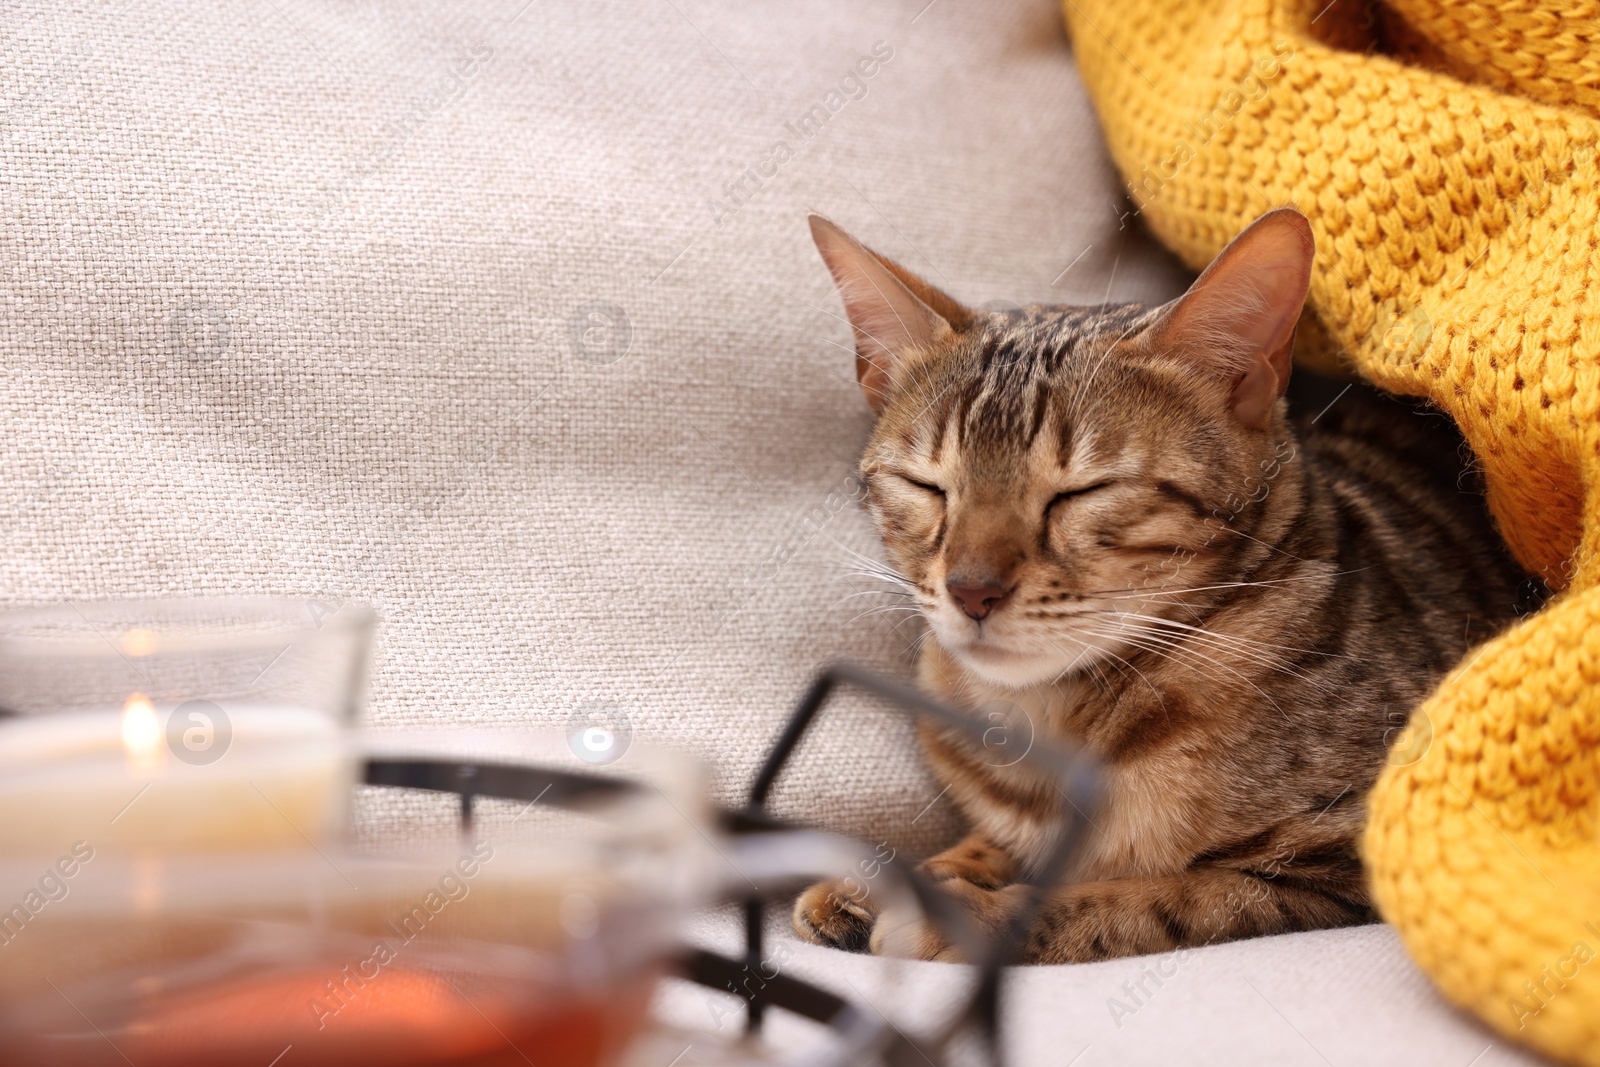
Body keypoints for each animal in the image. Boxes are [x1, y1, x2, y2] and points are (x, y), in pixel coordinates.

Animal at [793, 206, 1529, 959]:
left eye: (1082, 492)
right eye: (927, 486)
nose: (972, 589)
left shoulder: (1342, 864)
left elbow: (1141, 899)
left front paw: (968, 915)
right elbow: (995, 842)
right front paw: (903, 876)